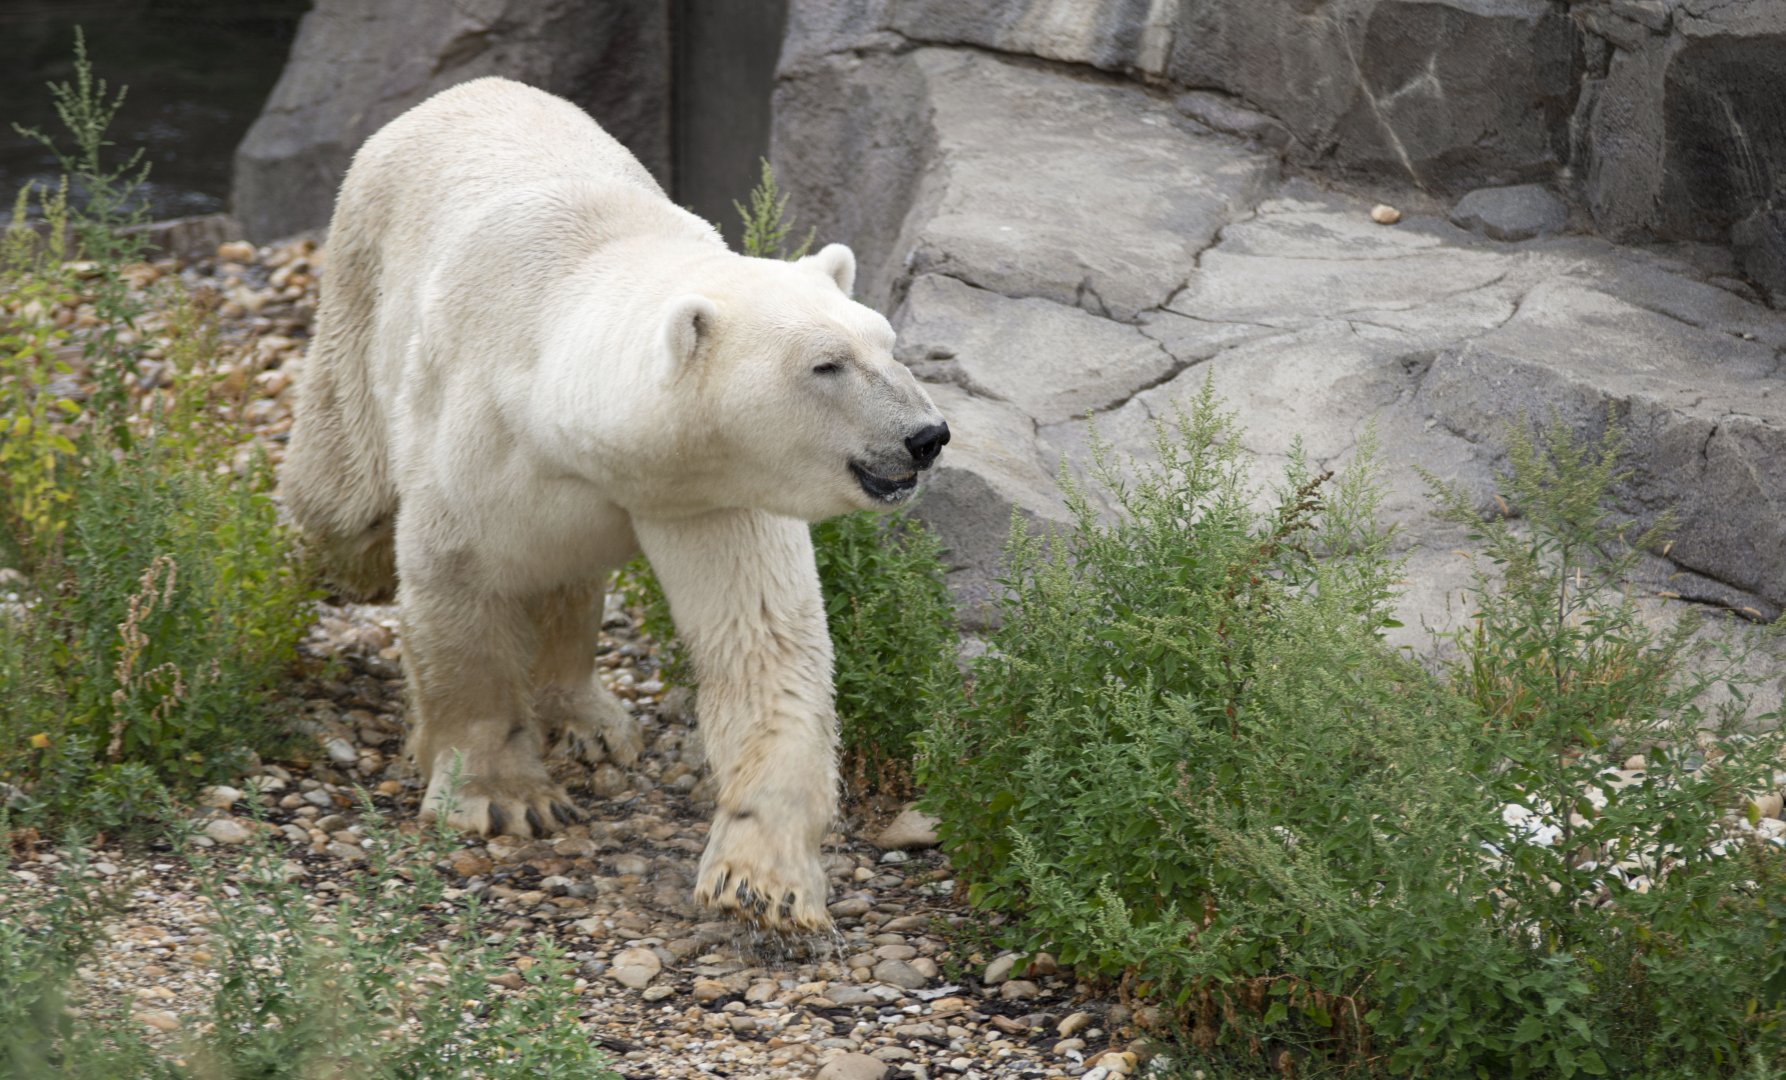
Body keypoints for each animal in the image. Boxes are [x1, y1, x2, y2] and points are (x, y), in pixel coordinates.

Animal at [281, 77, 948, 929]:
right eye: (826, 364)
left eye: (888, 344)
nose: (927, 436)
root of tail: (465, 89)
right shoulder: (479, 437)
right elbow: (456, 589)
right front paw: (502, 796)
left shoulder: (706, 490)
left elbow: (764, 643)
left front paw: (761, 881)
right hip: (361, 293)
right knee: (345, 503)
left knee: (564, 578)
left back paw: (588, 719)